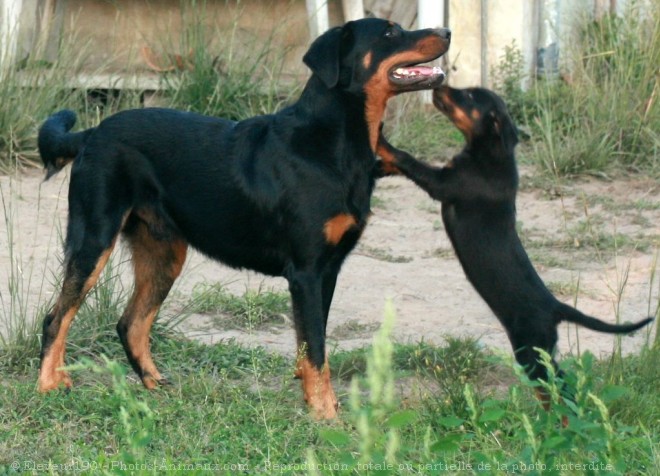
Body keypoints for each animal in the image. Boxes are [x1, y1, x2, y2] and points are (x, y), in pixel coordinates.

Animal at [38, 19, 452, 420]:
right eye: (390, 32)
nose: (446, 32)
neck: (333, 143)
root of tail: (91, 134)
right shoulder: (306, 272)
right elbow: (317, 348)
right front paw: (325, 414)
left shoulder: (328, 270)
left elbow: (309, 344)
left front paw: (315, 400)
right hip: (94, 238)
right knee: (56, 318)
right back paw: (49, 385)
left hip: (164, 254)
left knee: (131, 324)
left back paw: (156, 384)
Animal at [376, 84, 656, 398]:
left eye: (469, 96)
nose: (439, 85)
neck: (490, 154)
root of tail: (555, 307)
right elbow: (398, 166)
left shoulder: (443, 184)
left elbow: (407, 159)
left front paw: (382, 140)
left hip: (531, 352)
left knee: (557, 386)